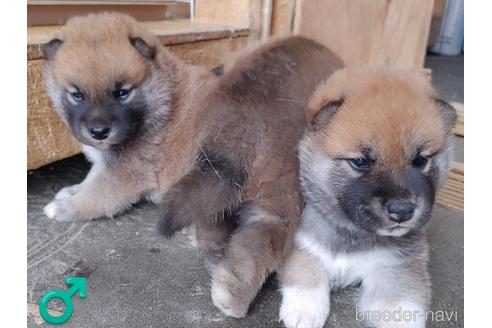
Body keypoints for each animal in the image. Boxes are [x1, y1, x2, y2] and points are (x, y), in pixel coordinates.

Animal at [40, 12, 344, 318]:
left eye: (122, 92)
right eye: (76, 94)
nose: (99, 132)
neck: (161, 99)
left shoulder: (124, 175)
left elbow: (94, 196)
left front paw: (65, 207)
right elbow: (89, 179)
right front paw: (70, 191)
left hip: (279, 184)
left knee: (269, 231)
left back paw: (234, 293)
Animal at [278, 68, 456, 326]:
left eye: (420, 160)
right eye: (361, 161)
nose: (402, 211)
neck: (354, 234)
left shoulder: (397, 264)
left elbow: (399, 306)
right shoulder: (302, 244)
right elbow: (307, 271)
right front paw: (304, 309)